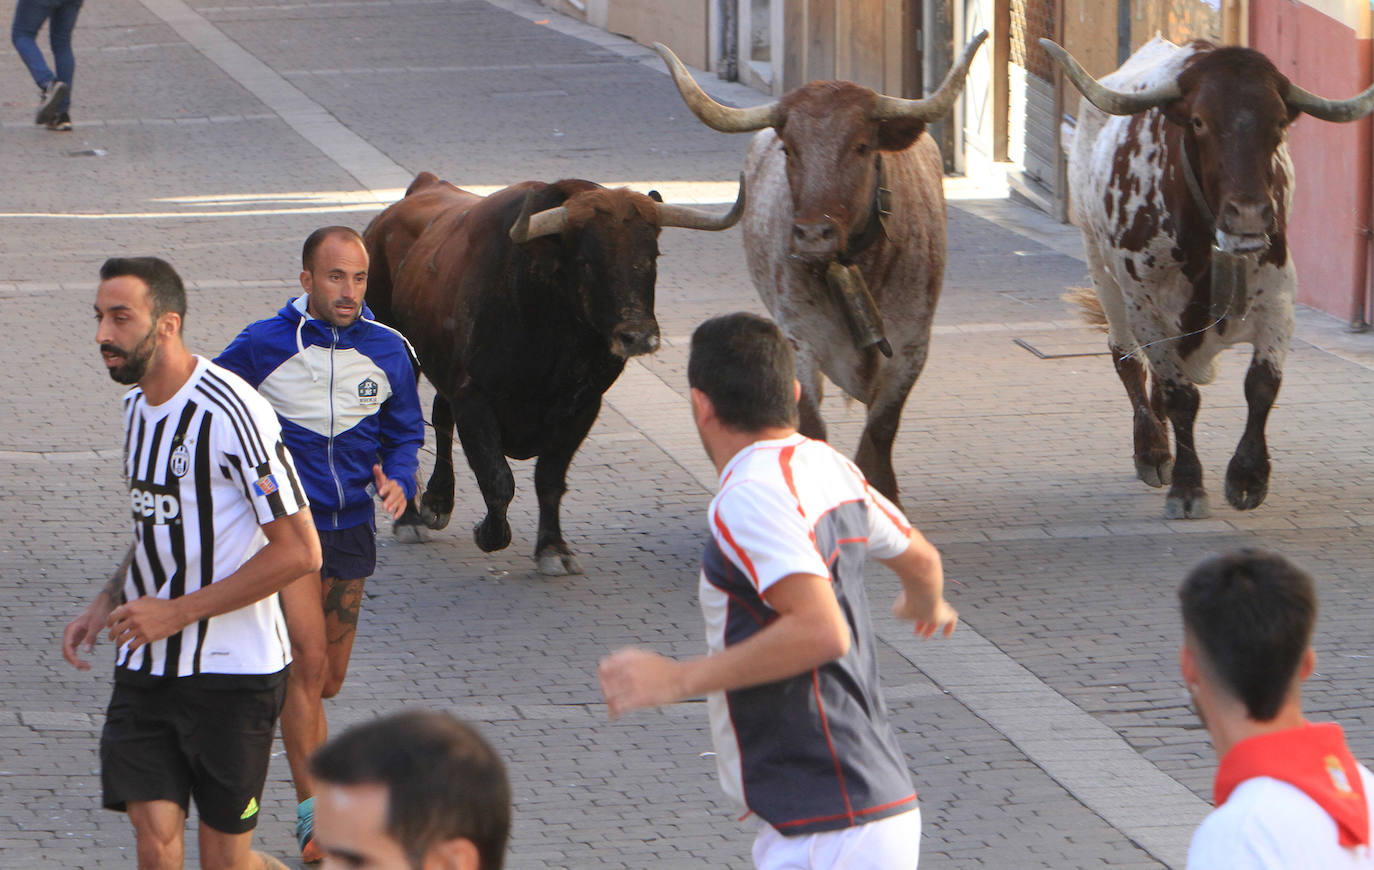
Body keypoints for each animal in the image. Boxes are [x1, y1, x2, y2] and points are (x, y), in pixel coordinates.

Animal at [362, 173, 741, 574]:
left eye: (652, 256)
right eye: (587, 261)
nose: (638, 335)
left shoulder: (583, 407)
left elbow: (550, 479)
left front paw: (553, 549)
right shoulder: (475, 397)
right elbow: (498, 478)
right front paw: (490, 535)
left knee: (440, 415)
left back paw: (437, 502)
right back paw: (410, 519)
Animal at [656, 34, 989, 505]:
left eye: (862, 146)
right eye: (789, 148)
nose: (813, 234)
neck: (857, 264)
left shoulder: (911, 347)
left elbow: (879, 434)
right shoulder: (800, 340)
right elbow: (809, 425)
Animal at [1044, 37, 1368, 516]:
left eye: (1278, 123)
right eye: (1199, 121)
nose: (1248, 215)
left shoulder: (1279, 303)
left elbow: (1262, 385)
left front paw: (1248, 476)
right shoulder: (1146, 311)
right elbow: (1180, 396)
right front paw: (1187, 485)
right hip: (1101, 270)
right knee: (1127, 359)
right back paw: (1152, 451)